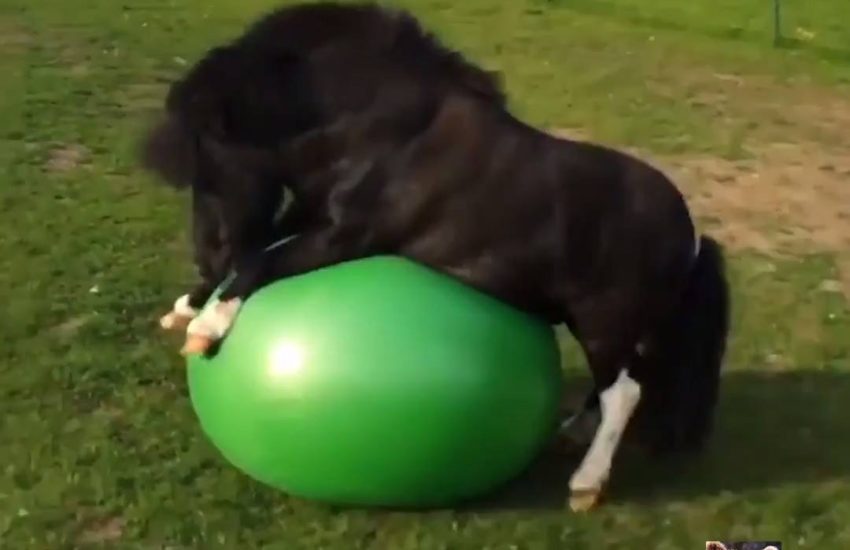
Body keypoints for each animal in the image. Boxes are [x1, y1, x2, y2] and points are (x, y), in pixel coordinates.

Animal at [140, 1, 731, 511]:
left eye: (209, 162)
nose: (207, 249)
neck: (378, 124)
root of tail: (690, 233)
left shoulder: (345, 238)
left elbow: (260, 263)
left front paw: (208, 327)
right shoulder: (308, 214)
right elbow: (255, 255)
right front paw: (186, 309)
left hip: (603, 322)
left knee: (624, 392)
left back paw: (586, 483)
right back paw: (573, 437)